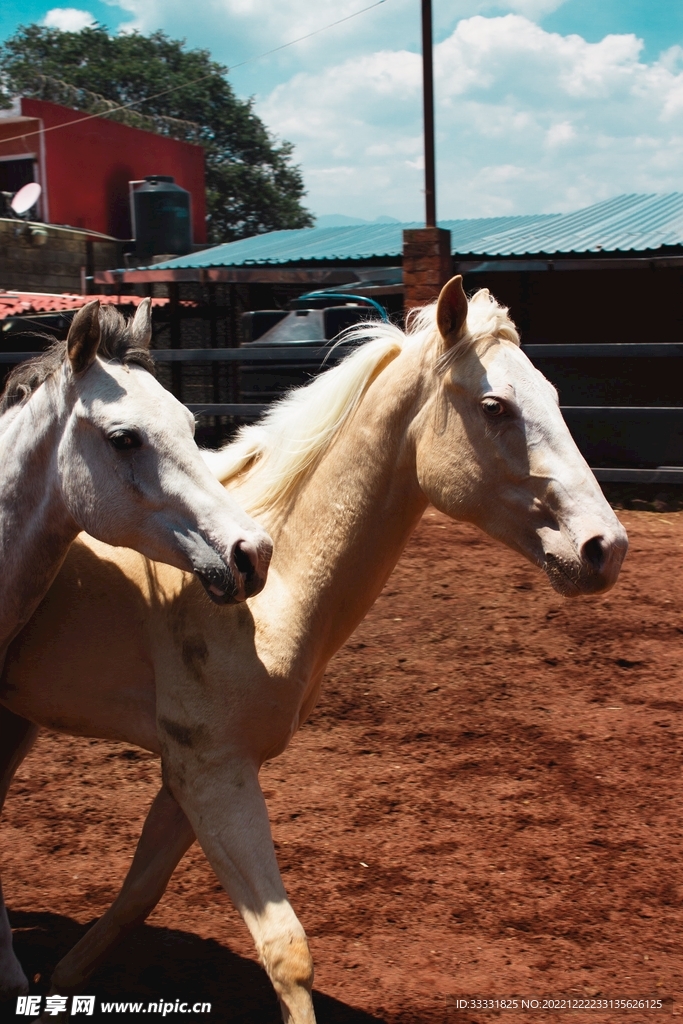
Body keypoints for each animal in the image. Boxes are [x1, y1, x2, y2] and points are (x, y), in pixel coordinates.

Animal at [0, 278, 627, 1021]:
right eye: (494, 406)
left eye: (553, 397)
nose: (604, 547)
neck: (268, 600)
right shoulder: (212, 771)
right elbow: (286, 951)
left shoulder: (191, 778)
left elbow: (136, 897)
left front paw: (63, 982)